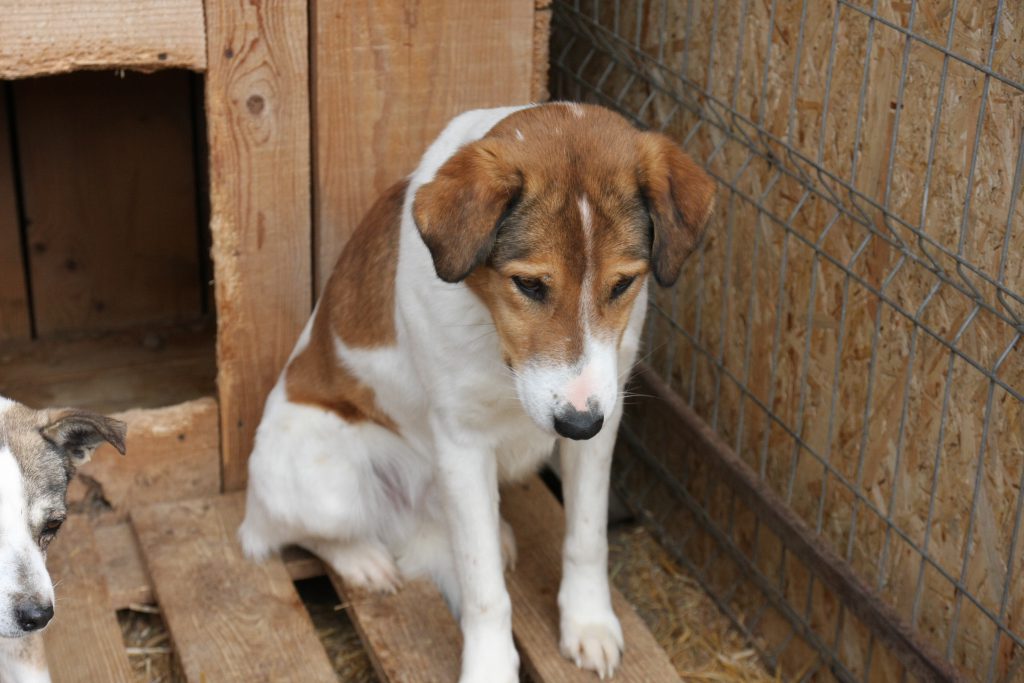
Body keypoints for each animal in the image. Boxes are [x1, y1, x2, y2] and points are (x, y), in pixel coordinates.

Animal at [239, 102, 714, 682]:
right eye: (529, 284)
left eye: (623, 284)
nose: (576, 425)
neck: (494, 341)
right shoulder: (463, 446)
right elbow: (484, 588)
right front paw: (490, 666)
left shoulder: (603, 422)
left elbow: (586, 539)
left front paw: (587, 622)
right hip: (325, 478)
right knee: (291, 530)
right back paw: (364, 561)